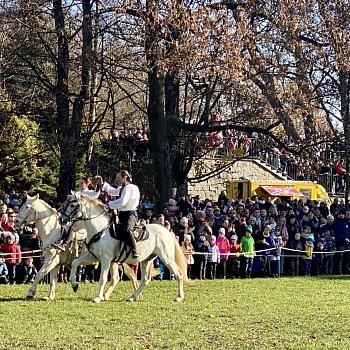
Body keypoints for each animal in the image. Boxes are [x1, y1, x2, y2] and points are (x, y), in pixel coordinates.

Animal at [60, 191, 191, 304]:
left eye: (72, 204)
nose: (62, 219)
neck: (100, 229)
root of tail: (167, 231)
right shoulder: (94, 257)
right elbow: (75, 263)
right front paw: (74, 285)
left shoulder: (106, 259)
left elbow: (103, 278)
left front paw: (97, 297)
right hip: (146, 260)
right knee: (145, 280)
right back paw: (132, 297)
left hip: (166, 257)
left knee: (178, 274)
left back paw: (179, 297)